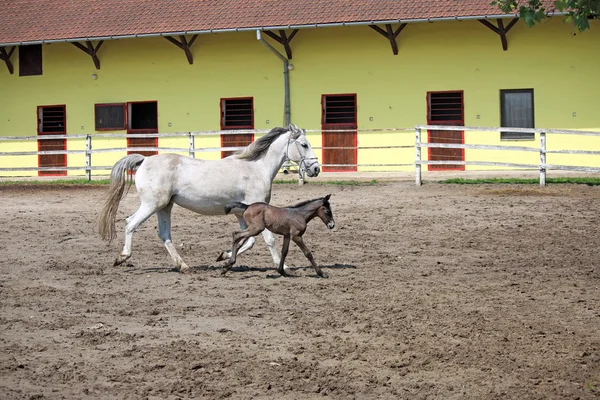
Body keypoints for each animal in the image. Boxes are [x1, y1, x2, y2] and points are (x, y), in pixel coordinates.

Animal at [98, 124, 318, 272]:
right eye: (304, 145)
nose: (316, 168)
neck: (256, 168)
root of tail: (144, 160)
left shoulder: (242, 214)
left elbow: (248, 241)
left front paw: (223, 256)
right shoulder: (258, 209)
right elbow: (268, 239)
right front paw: (283, 266)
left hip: (164, 207)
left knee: (164, 234)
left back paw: (183, 266)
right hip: (152, 204)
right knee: (130, 223)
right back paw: (122, 257)